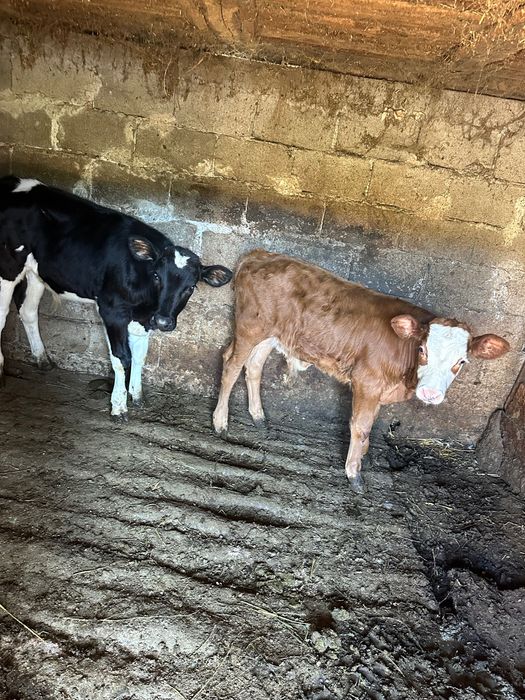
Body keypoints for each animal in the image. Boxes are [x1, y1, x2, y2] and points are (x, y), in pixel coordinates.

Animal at [0, 176, 232, 419]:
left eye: (191, 287)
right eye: (157, 276)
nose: (163, 321)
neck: (144, 304)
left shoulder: (143, 319)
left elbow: (139, 356)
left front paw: (137, 395)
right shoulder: (111, 310)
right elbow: (122, 357)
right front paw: (119, 405)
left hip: (36, 272)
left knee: (28, 311)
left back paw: (42, 359)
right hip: (7, 266)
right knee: (2, 314)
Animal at [213, 249, 510, 491]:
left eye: (461, 362)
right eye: (422, 350)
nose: (430, 393)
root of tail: (260, 255)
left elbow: (368, 428)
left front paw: (361, 457)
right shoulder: (367, 382)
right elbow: (361, 426)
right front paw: (354, 474)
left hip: (271, 335)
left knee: (253, 367)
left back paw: (258, 416)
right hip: (250, 327)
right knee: (231, 365)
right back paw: (220, 422)